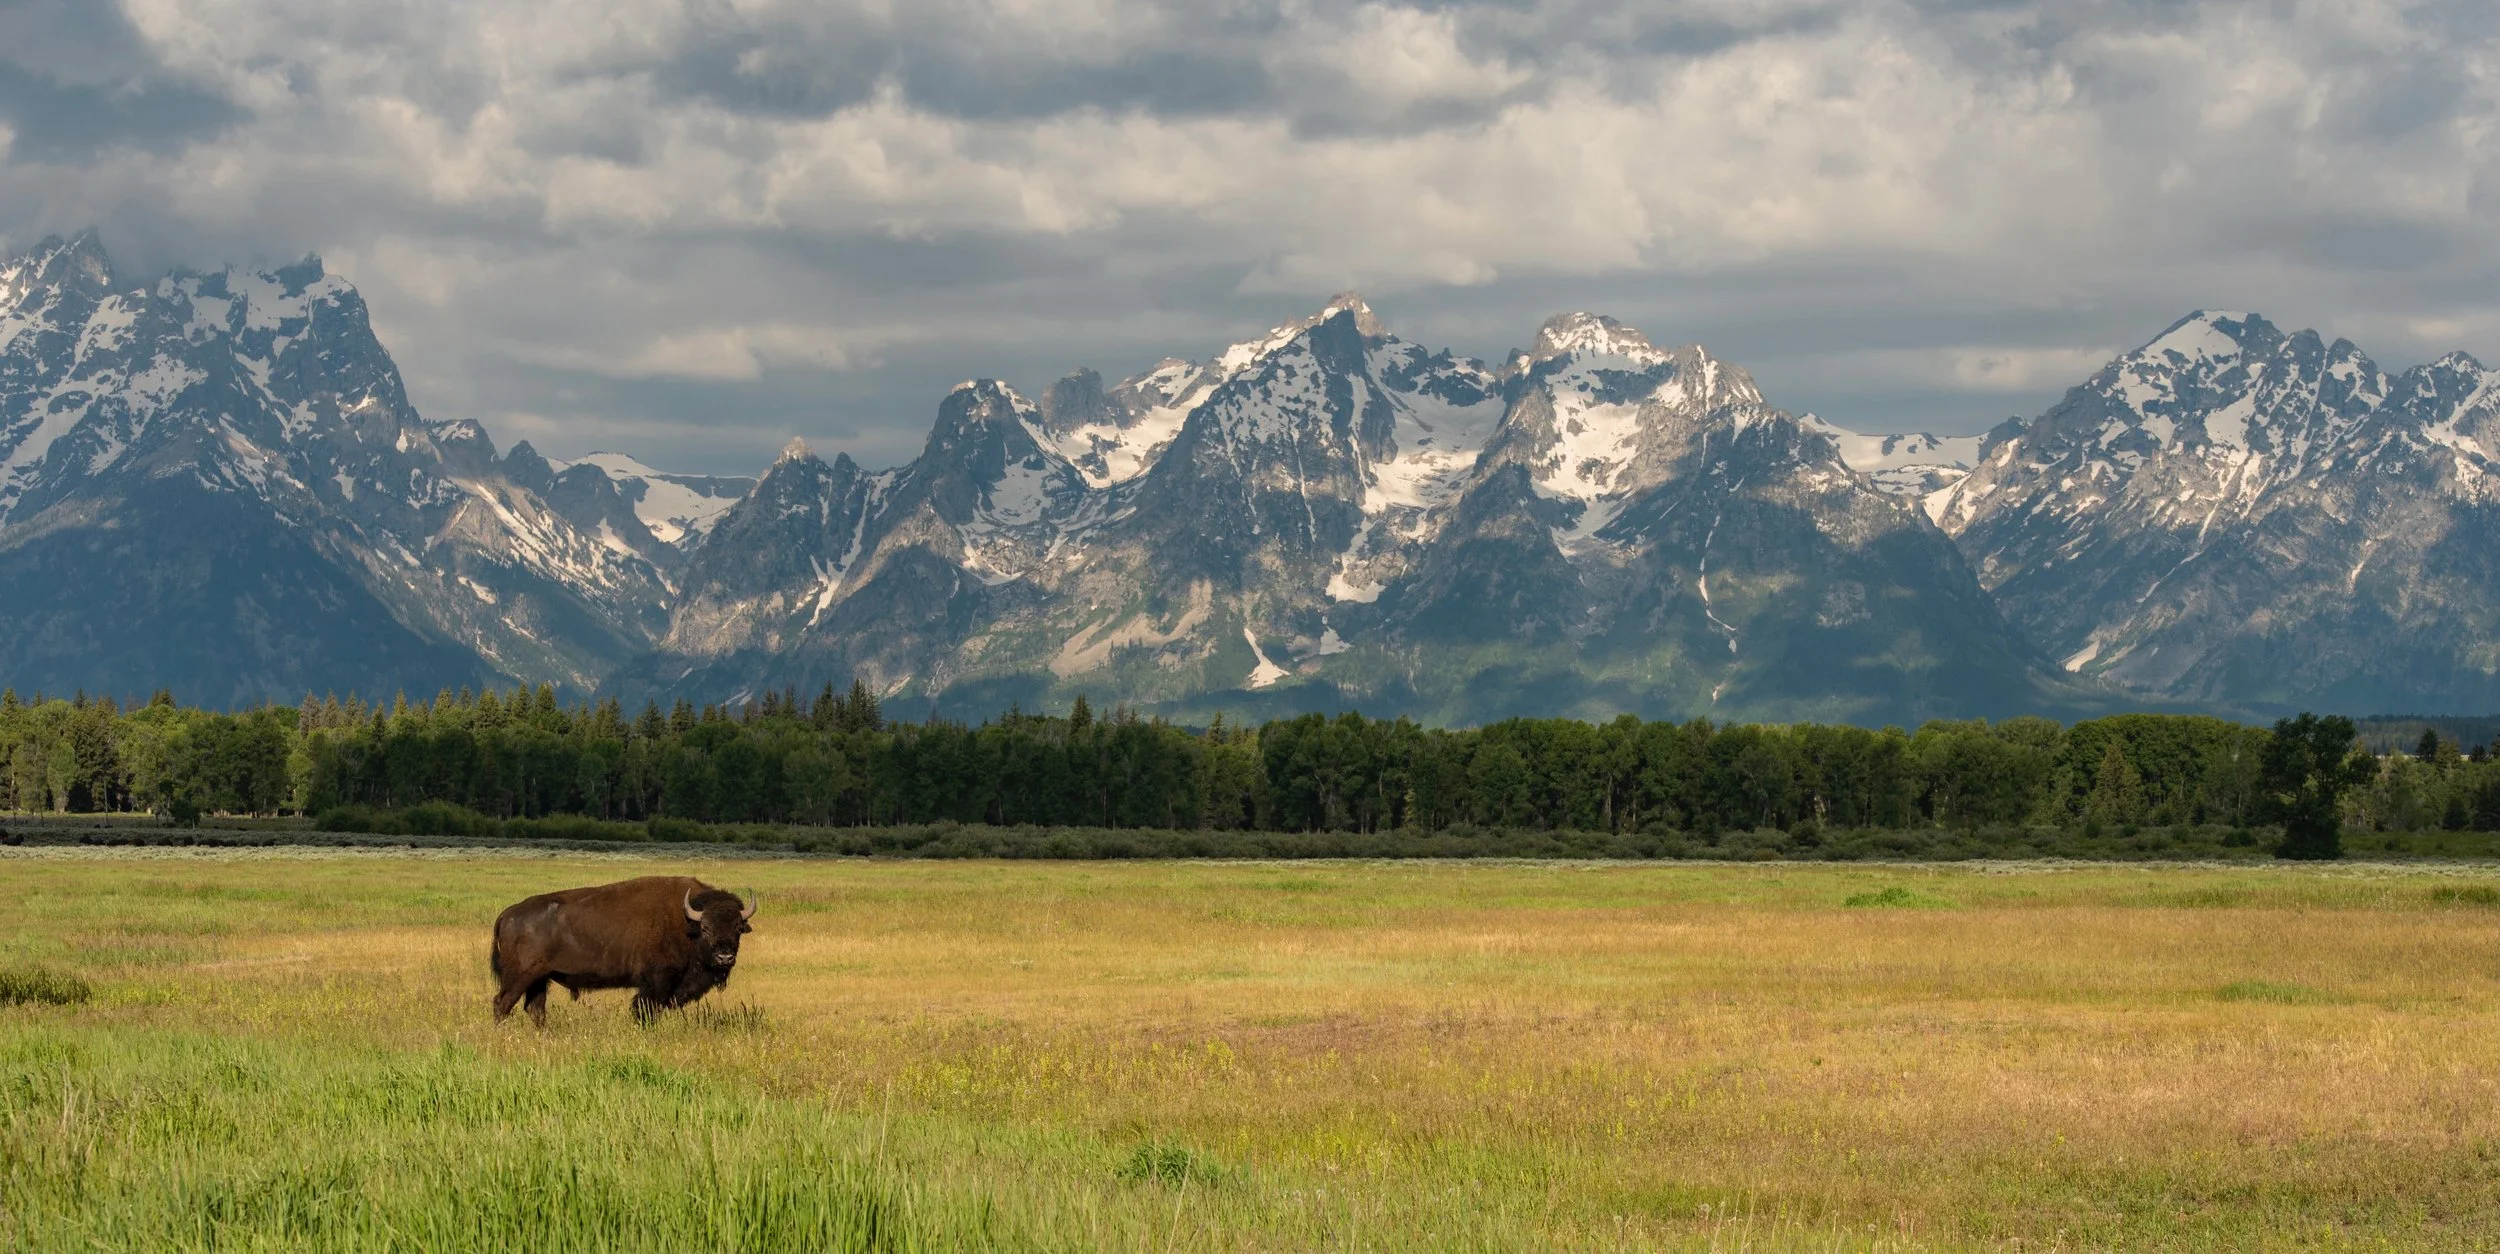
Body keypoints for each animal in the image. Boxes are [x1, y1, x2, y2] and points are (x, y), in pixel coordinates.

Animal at [490, 875, 756, 1025]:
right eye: (706, 928)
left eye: (738, 928)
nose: (724, 957)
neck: (686, 921)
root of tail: (507, 914)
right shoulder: (657, 981)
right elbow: (646, 1010)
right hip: (520, 977)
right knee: (502, 1004)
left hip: (539, 979)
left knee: (534, 1008)